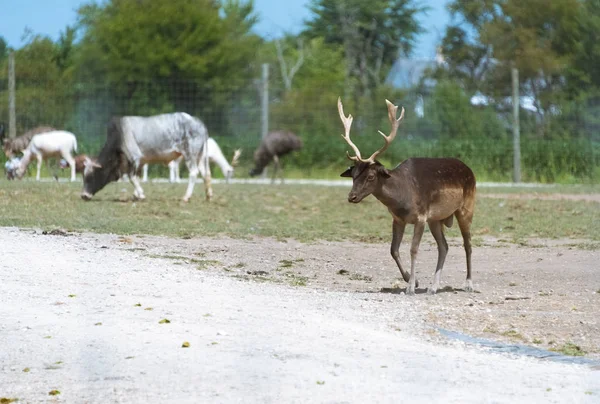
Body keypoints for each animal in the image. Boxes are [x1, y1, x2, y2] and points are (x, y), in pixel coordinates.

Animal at [338, 96, 474, 296]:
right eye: (354, 174)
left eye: (371, 176)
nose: (352, 196)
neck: (402, 198)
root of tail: (469, 169)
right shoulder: (398, 219)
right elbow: (393, 249)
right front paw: (414, 281)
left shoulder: (421, 217)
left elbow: (413, 249)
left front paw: (410, 287)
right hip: (436, 219)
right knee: (444, 246)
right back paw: (433, 287)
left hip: (466, 208)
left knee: (467, 243)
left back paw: (468, 283)